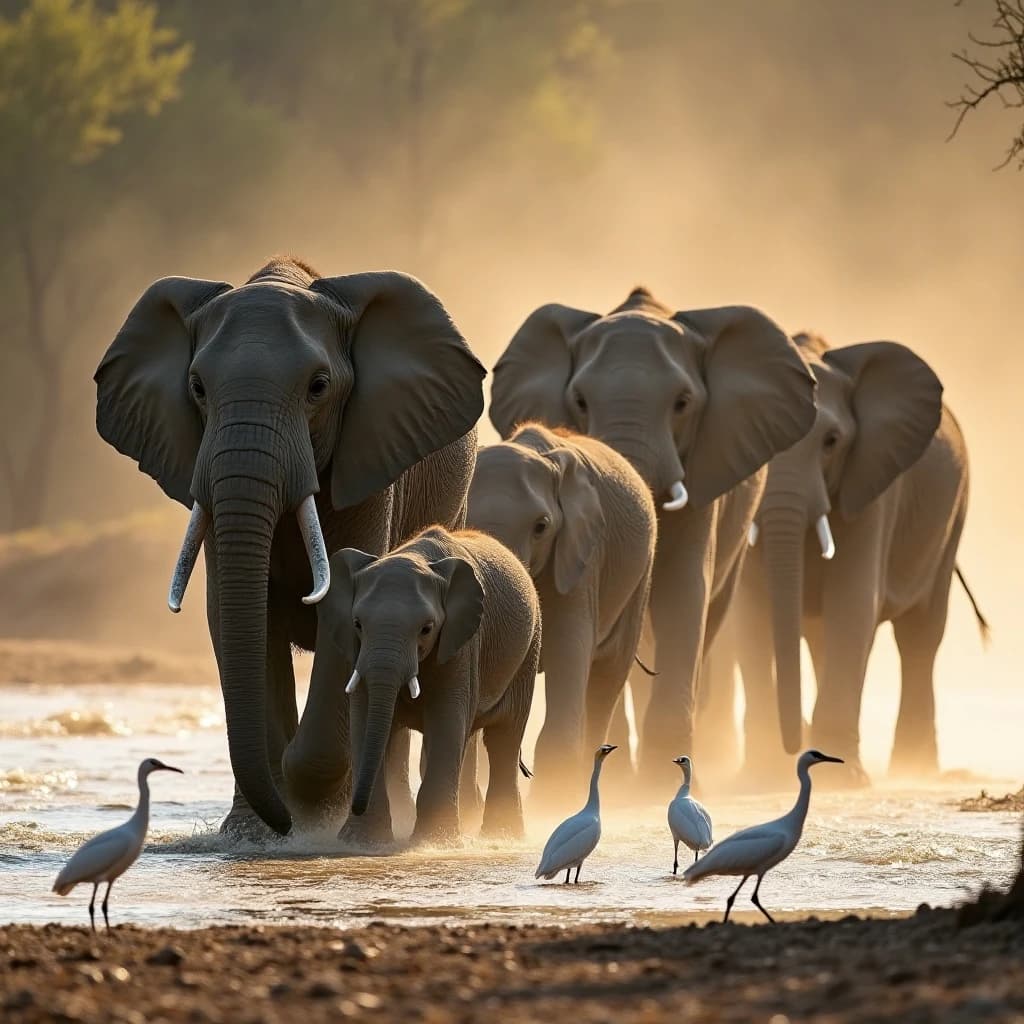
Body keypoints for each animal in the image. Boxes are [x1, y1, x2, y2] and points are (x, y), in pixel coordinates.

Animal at [94, 257, 485, 836]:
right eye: (197, 388)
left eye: (318, 387)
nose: (281, 824)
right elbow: (236, 615)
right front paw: (254, 835)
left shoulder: (370, 462)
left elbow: (340, 607)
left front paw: (311, 810)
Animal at [293, 525, 541, 844]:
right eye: (357, 624)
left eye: (426, 629)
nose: (356, 806)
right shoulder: (357, 650)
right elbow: (364, 718)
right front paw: (361, 842)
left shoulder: (462, 643)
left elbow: (446, 719)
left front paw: (435, 842)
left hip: (529, 652)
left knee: (505, 739)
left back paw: (502, 836)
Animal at [466, 422, 656, 802]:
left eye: (541, 527)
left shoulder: (582, 557)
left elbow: (570, 651)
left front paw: (552, 803)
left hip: (639, 578)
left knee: (607, 678)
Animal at [720, 331, 984, 785]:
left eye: (831, 442)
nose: (796, 743)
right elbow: (750, 613)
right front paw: (759, 778)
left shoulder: (874, 488)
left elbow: (854, 603)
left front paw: (841, 779)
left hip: (954, 515)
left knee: (920, 634)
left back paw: (914, 769)